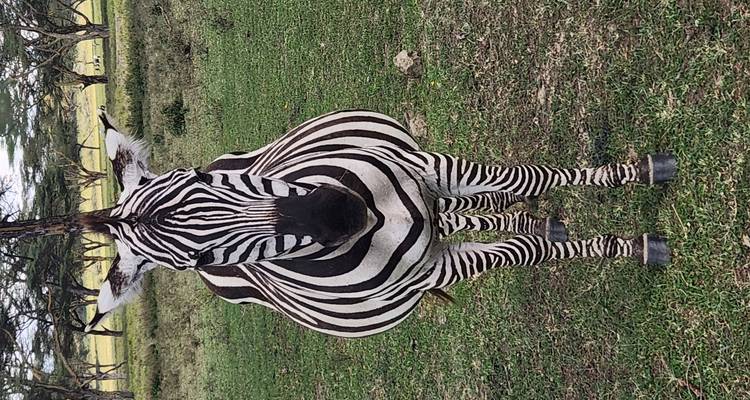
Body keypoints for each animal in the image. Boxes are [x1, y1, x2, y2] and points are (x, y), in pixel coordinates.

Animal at [84, 109, 676, 338]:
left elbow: (525, 178)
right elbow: (519, 251)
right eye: (197, 258)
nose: (339, 213)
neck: (376, 223)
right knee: (466, 219)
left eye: (202, 176)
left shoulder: (428, 167)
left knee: (472, 207)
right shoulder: (436, 270)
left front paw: (637, 181)